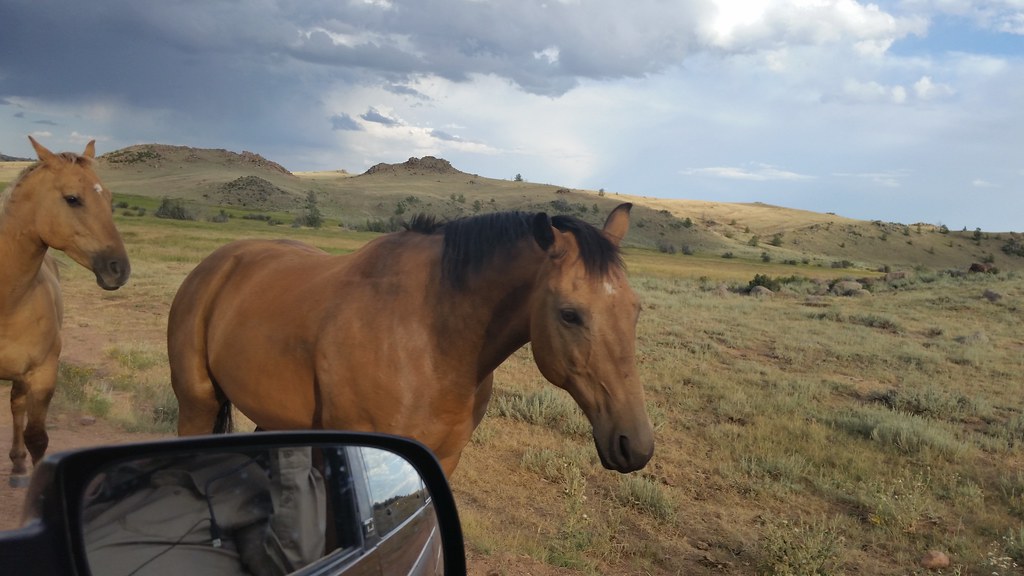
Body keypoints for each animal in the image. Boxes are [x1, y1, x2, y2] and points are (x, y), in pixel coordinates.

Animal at [1, 137, 131, 486]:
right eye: (73, 199)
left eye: (110, 199)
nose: (119, 269)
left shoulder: (44, 373)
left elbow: (37, 438)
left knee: (17, 406)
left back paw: (17, 464)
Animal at [168, 203, 654, 476]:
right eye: (570, 314)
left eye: (635, 309)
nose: (636, 445)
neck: (431, 343)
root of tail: (218, 261)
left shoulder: (445, 457)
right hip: (197, 403)